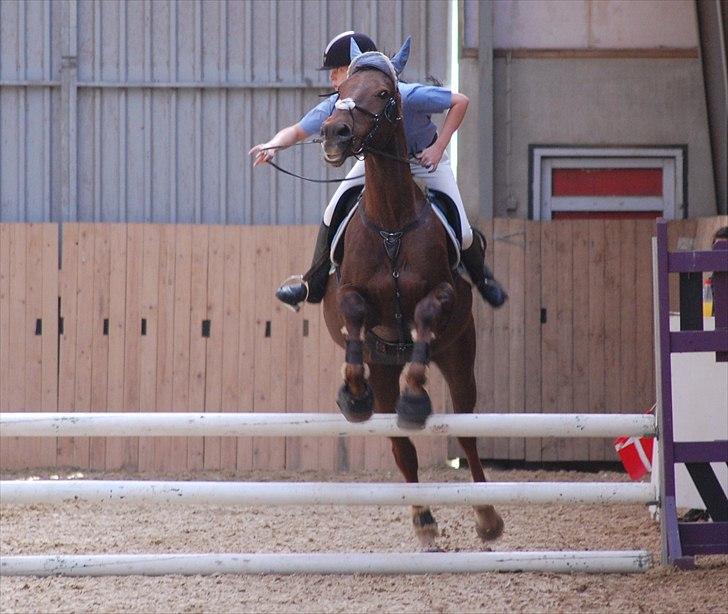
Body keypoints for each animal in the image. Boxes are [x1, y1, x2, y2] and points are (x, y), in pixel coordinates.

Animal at [320, 44, 506, 552]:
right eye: (339, 93)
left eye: (384, 94)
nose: (334, 133)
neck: (391, 222)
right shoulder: (349, 295)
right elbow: (354, 312)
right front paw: (352, 392)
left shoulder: (442, 295)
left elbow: (423, 311)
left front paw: (416, 398)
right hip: (386, 368)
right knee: (402, 448)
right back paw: (422, 518)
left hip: (460, 354)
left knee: (467, 432)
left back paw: (487, 517)